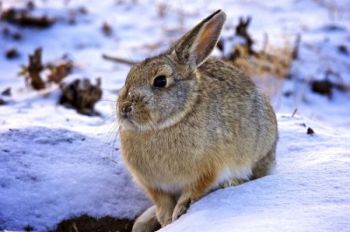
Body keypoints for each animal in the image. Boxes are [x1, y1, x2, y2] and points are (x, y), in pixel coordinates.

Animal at [116, 9, 278, 232]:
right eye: (128, 77)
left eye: (160, 81)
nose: (124, 108)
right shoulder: (154, 185)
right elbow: (162, 201)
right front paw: (166, 219)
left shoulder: (208, 170)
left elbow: (194, 190)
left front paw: (178, 213)